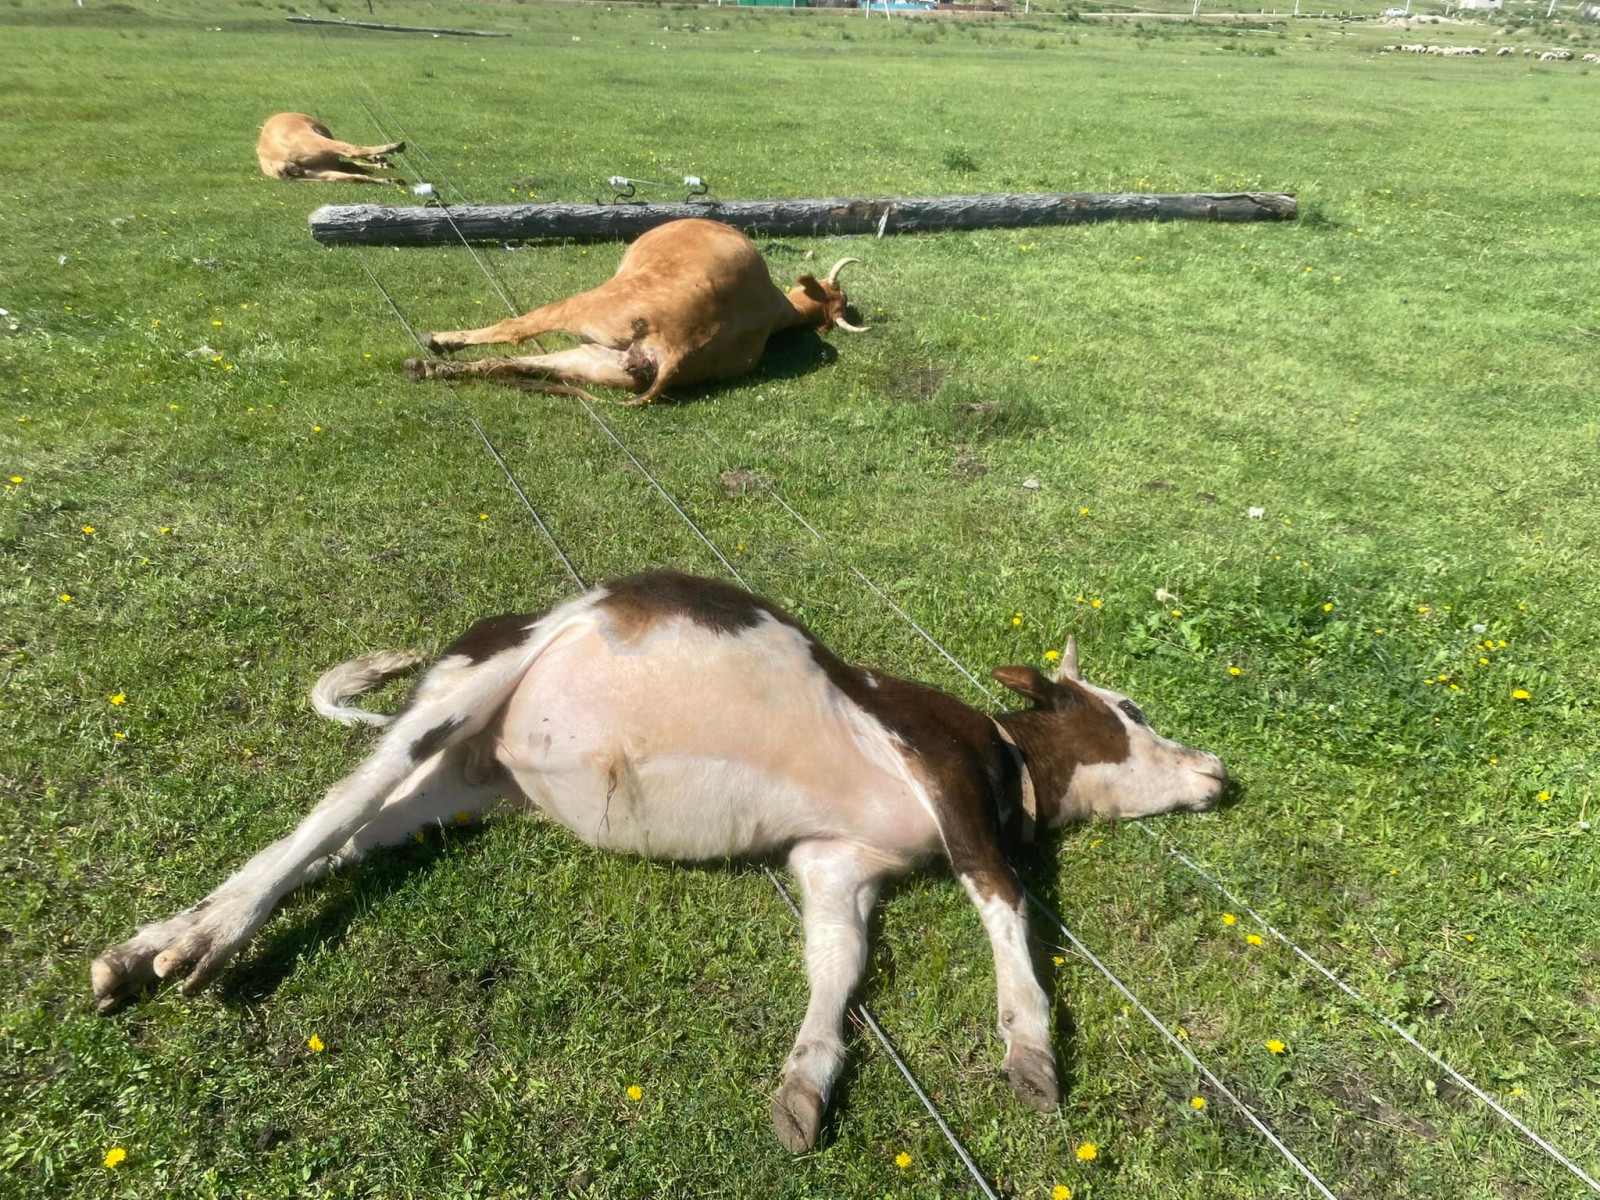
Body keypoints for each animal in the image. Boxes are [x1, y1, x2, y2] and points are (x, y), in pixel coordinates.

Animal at [254, 112, 406, 188]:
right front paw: (381, 161)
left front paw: (381, 162)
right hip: (318, 144)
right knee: (350, 150)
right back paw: (395, 146)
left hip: (319, 173)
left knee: (355, 177)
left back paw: (392, 180)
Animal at [406, 216, 870, 404]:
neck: (777, 308)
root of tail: (681, 353)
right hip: (602, 362)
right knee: (510, 363)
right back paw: (427, 367)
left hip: (595, 306)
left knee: (515, 328)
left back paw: (436, 344)